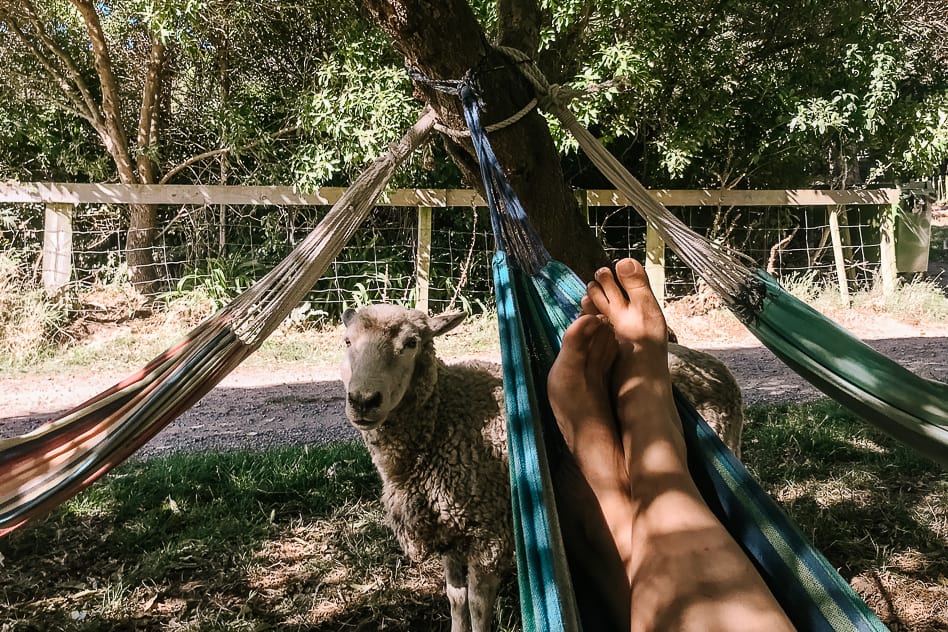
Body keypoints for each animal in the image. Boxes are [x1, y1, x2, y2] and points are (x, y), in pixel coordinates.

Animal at [340, 304, 744, 632]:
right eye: (347, 341)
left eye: (411, 343)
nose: (363, 400)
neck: (443, 420)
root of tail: (709, 362)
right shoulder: (450, 533)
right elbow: (456, 602)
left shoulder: (492, 532)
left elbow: (478, 605)